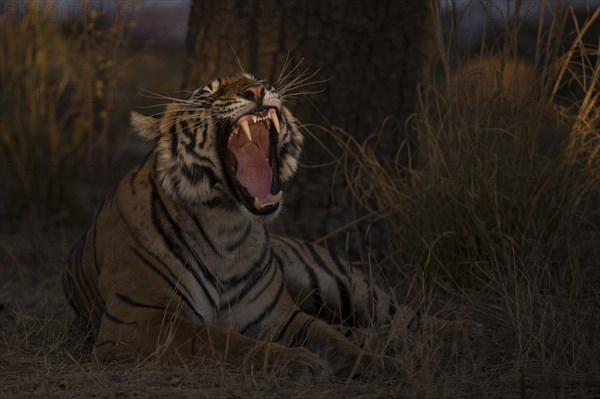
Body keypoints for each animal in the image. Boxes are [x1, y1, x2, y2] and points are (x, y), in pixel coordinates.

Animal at [62, 73, 454, 380]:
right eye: (209, 91)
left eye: (254, 77)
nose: (258, 89)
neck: (225, 227)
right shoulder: (139, 322)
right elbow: (222, 340)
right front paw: (302, 363)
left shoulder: (282, 317)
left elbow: (332, 339)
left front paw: (380, 365)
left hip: (337, 283)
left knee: (407, 316)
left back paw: (453, 335)